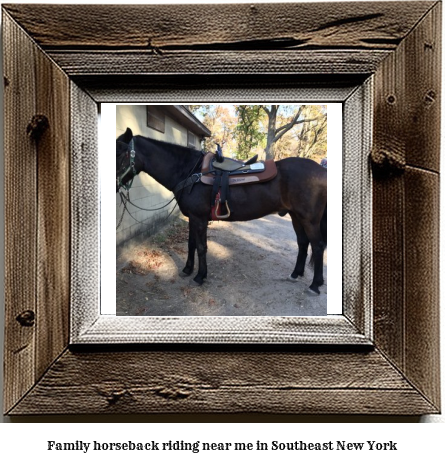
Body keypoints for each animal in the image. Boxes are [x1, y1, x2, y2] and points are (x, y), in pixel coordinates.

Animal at [116, 127, 326, 294]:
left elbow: (201, 247)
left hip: (309, 219)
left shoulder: (199, 218)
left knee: (317, 246)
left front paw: (200, 276)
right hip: (296, 217)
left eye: (120, 153)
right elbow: (191, 244)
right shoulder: (192, 218)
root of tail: (321, 171)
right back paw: (295, 274)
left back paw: (315, 285)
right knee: (302, 243)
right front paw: (187, 270)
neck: (190, 172)